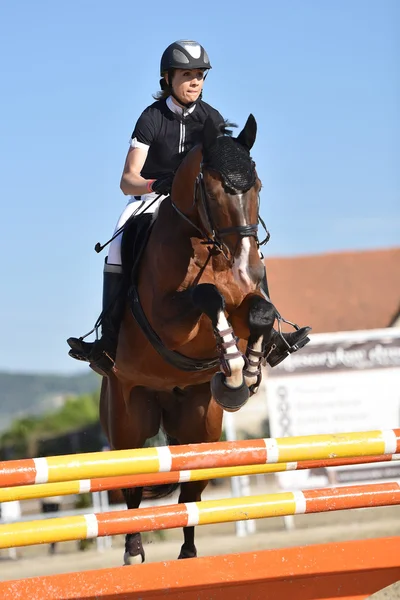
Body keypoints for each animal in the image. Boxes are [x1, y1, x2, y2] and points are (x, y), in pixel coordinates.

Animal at [99, 115, 276, 564]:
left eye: (257, 185)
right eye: (212, 190)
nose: (249, 265)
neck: (207, 245)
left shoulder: (247, 302)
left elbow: (259, 313)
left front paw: (245, 374)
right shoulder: (167, 318)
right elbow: (208, 296)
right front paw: (231, 363)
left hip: (201, 426)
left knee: (190, 492)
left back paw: (189, 556)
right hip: (128, 418)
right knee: (131, 491)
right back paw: (133, 552)